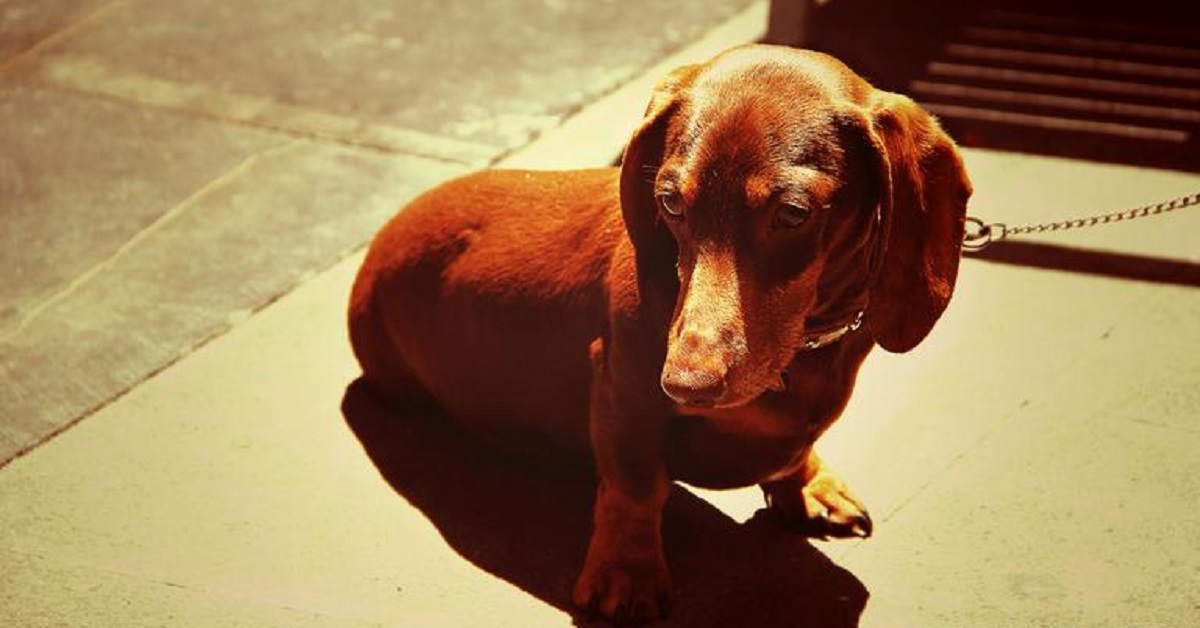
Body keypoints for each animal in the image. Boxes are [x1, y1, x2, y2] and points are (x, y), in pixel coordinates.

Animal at [350, 45, 969, 624]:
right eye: (670, 201)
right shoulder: (622, 393)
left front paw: (808, 483)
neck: (803, 349)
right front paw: (626, 574)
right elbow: (637, 487)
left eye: (793, 213)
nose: (684, 385)